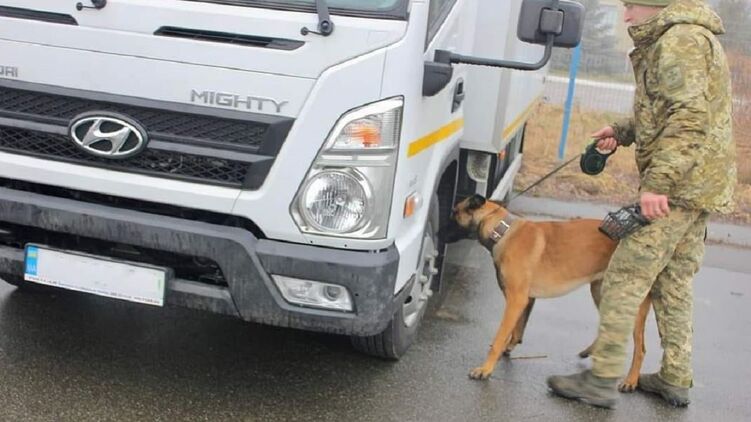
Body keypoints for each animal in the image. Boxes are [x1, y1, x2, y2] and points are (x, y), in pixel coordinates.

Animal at [445, 194, 651, 392]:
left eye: (455, 213)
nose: (439, 232)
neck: (502, 230)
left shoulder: (516, 300)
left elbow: (499, 337)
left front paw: (485, 369)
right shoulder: (525, 300)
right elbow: (517, 328)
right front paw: (509, 347)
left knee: (640, 349)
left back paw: (630, 381)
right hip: (602, 293)